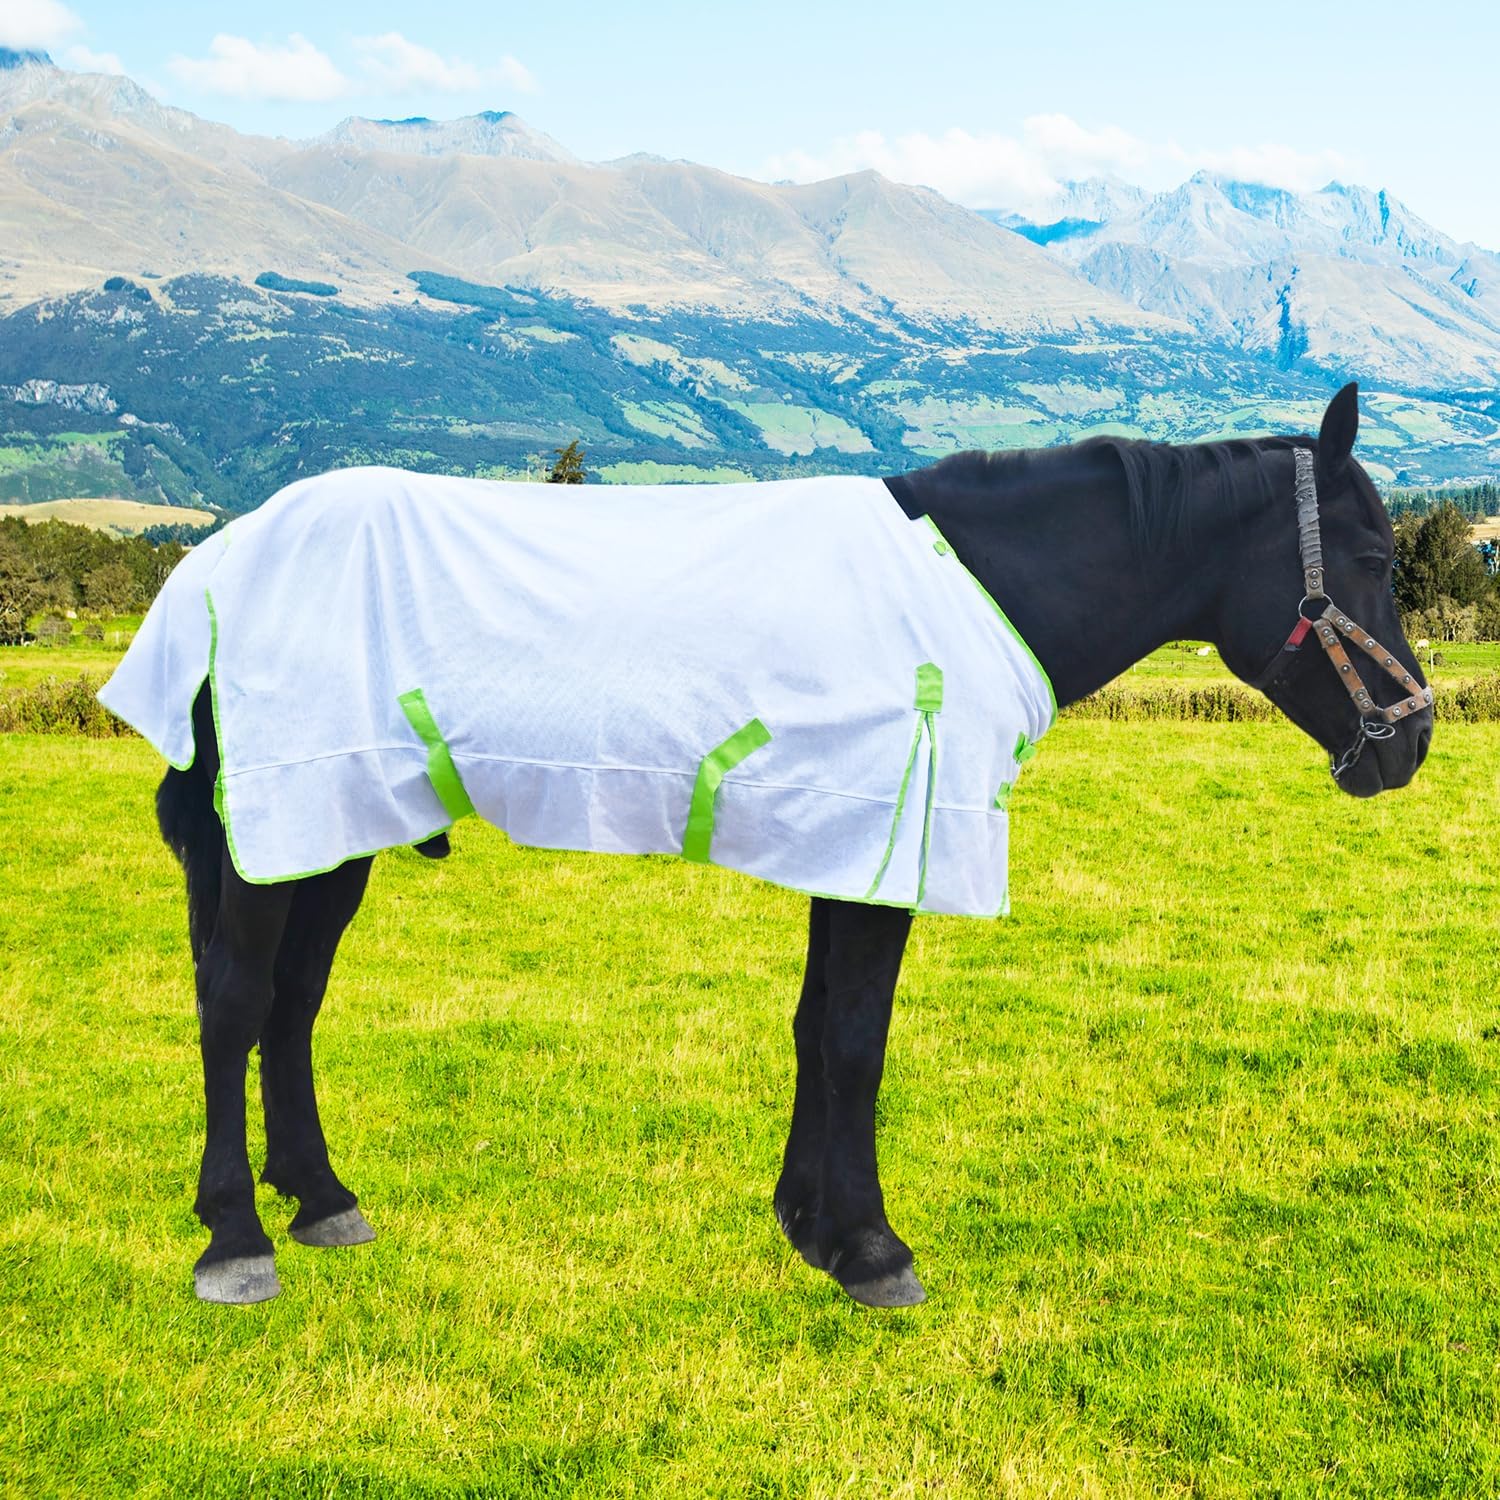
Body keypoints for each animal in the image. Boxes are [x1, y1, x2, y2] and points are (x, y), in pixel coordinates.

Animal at [136, 381, 1430, 1307]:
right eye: (1372, 562)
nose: (1411, 739)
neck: (973, 586)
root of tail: (224, 556)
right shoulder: (883, 853)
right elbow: (856, 1040)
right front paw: (870, 1248)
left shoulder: (847, 845)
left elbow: (819, 1030)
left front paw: (808, 1224)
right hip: (271, 831)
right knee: (236, 1001)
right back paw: (237, 1239)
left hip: (326, 835)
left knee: (293, 1004)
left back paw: (318, 1196)